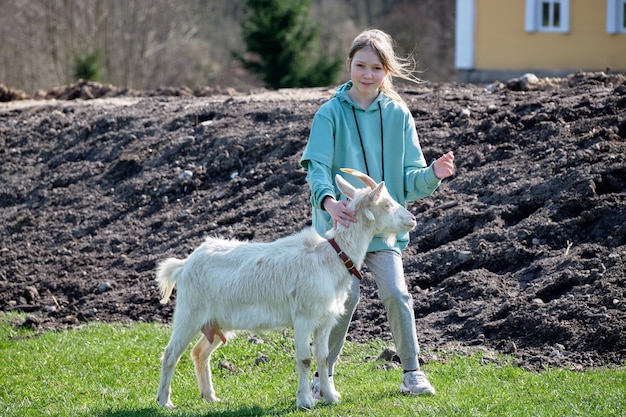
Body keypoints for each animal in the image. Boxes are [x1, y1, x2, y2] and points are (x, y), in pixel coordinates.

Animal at [155, 167, 414, 408]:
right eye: (387, 203)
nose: (412, 219)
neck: (330, 258)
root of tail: (184, 265)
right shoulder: (303, 317)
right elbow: (305, 359)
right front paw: (305, 401)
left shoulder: (325, 319)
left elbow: (323, 357)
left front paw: (330, 397)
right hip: (190, 313)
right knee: (170, 353)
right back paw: (164, 401)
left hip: (217, 321)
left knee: (199, 353)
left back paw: (210, 397)